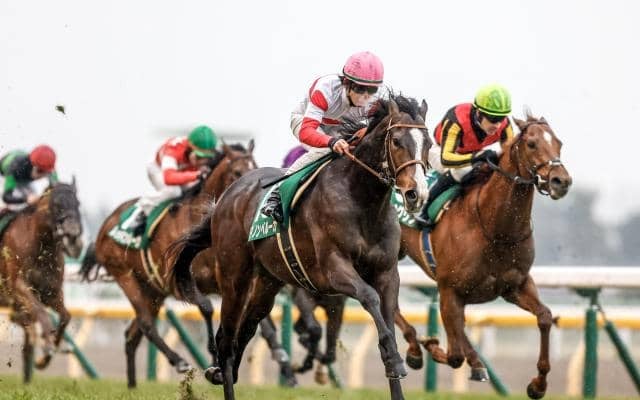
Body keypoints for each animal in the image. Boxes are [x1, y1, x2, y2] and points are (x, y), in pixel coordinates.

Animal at [0, 180, 83, 382]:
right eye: (57, 205)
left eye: (78, 204)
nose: (74, 237)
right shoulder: (19, 287)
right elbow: (42, 314)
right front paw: (47, 346)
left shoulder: (52, 292)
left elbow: (66, 317)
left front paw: (44, 359)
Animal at [79, 143, 260, 388]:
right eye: (238, 171)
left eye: (255, 166)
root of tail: (106, 224)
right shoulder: (177, 281)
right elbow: (206, 307)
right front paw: (213, 354)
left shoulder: (226, 280)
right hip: (125, 276)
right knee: (146, 323)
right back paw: (178, 361)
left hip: (153, 290)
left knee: (132, 335)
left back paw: (132, 386)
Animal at [168, 94, 431, 400]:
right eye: (397, 141)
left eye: (428, 143)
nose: (416, 194)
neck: (362, 202)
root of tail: (226, 196)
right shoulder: (334, 269)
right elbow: (369, 297)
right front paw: (394, 357)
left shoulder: (387, 273)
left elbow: (385, 317)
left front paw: (394, 361)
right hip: (235, 278)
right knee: (226, 338)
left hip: (267, 283)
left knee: (246, 329)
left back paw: (221, 372)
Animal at [397, 111, 572, 399]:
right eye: (531, 144)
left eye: (559, 143)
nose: (562, 181)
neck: (494, 228)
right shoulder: (449, 289)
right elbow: (454, 354)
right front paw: (430, 345)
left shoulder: (515, 285)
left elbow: (545, 317)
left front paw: (538, 384)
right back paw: (415, 349)